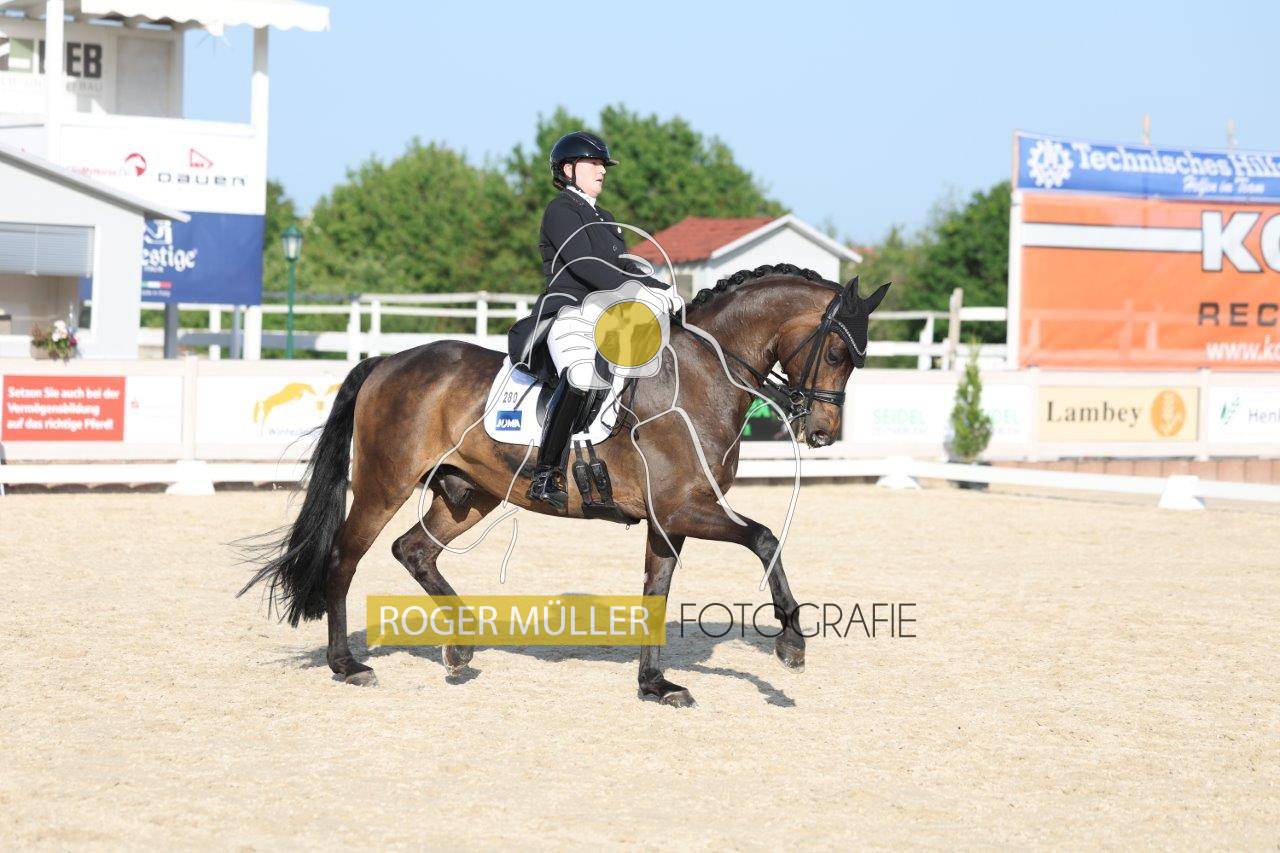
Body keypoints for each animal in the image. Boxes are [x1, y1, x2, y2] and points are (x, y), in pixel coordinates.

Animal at [239, 264, 889, 707]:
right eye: (837, 352)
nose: (822, 432)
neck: (702, 375)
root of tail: (388, 361)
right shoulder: (687, 508)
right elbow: (764, 539)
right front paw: (791, 643)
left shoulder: (667, 520)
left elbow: (657, 591)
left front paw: (655, 684)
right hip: (383, 484)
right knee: (345, 558)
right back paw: (348, 665)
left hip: (471, 494)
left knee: (414, 550)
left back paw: (460, 648)